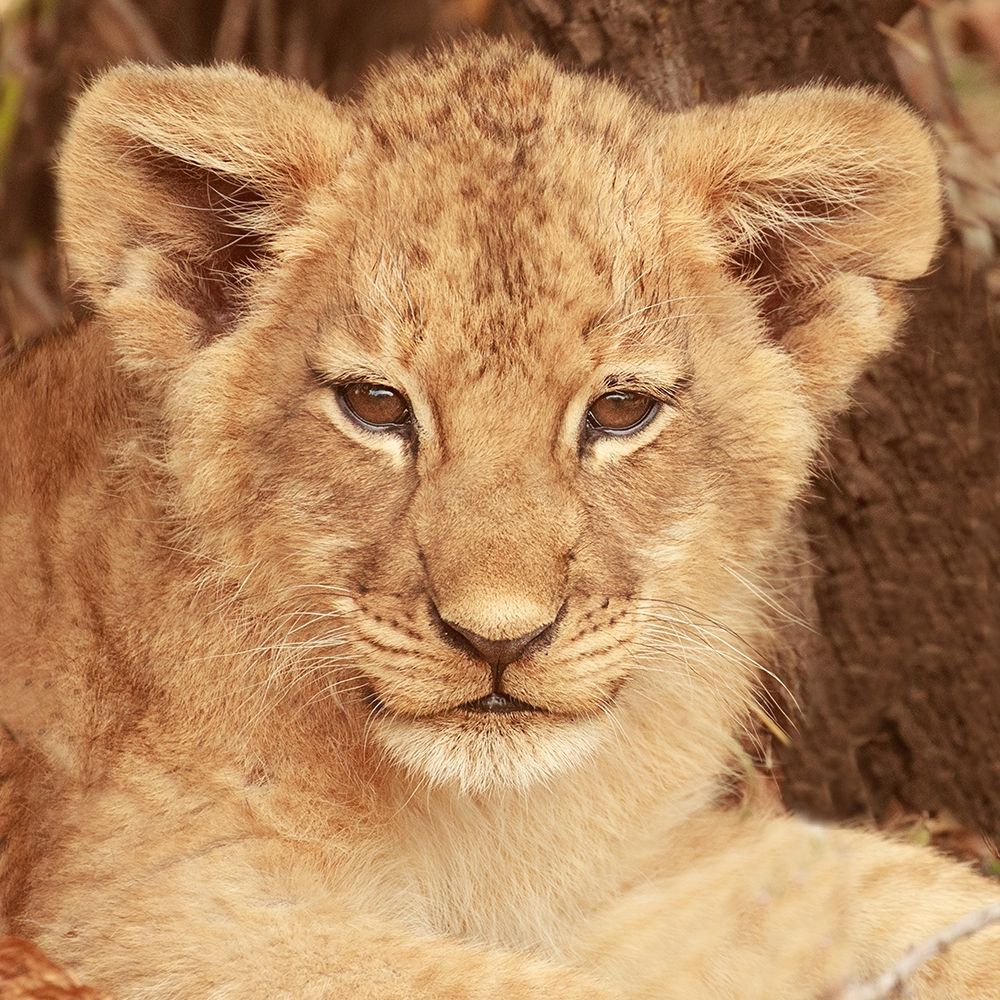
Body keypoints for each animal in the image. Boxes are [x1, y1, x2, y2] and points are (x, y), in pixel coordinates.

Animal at [0, 37, 997, 1000]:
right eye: (374, 404)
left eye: (621, 411)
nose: (499, 640)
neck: (481, 818)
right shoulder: (143, 914)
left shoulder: (597, 885)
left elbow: (867, 881)